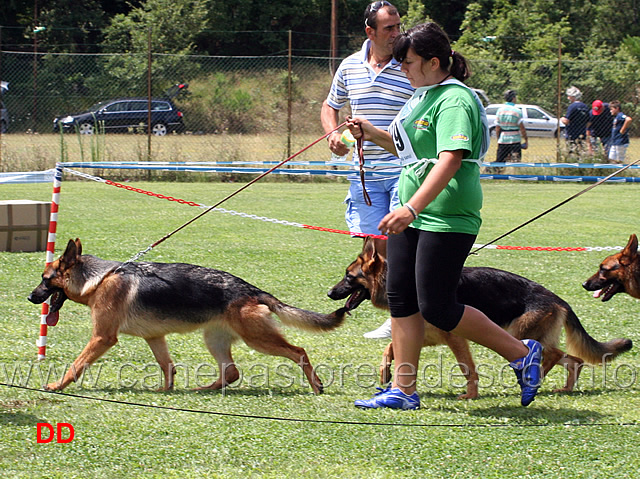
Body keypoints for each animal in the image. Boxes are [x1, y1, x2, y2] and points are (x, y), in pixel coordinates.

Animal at [27, 239, 348, 394]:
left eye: (45, 279)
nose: (30, 297)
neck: (99, 279)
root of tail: (253, 290)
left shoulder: (102, 338)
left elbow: (76, 365)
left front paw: (56, 386)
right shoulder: (155, 337)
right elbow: (167, 367)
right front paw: (165, 391)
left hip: (257, 339)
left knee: (298, 351)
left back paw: (316, 386)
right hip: (214, 339)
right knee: (231, 372)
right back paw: (201, 390)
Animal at [328, 238, 632, 400]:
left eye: (348, 277)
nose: (329, 292)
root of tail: (558, 299)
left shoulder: (455, 338)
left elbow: (467, 368)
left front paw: (470, 395)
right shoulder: (428, 336)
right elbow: (390, 348)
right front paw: (386, 373)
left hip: (518, 334)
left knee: (550, 354)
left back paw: (533, 379)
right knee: (574, 359)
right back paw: (563, 387)